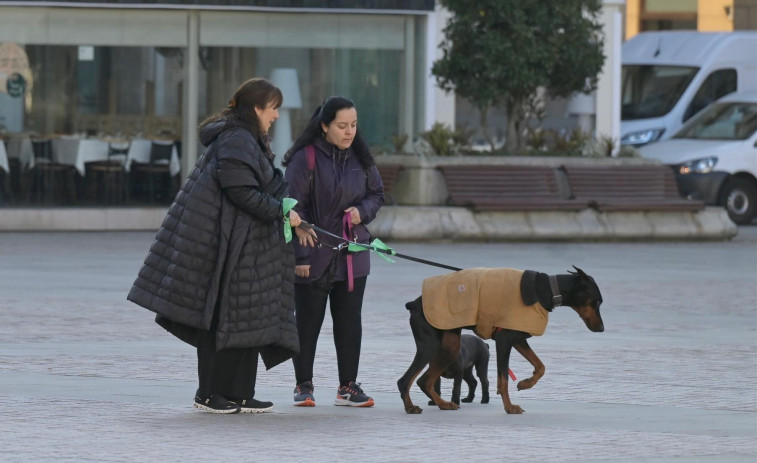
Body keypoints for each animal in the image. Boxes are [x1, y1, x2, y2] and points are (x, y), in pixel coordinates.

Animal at [396, 266, 604, 416]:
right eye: (597, 301)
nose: (602, 329)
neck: (545, 290)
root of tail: (413, 304)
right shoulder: (504, 340)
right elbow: (503, 379)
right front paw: (510, 407)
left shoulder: (518, 339)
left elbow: (540, 366)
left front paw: (525, 383)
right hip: (431, 346)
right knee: (408, 380)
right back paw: (411, 407)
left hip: (450, 346)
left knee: (425, 380)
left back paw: (443, 404)